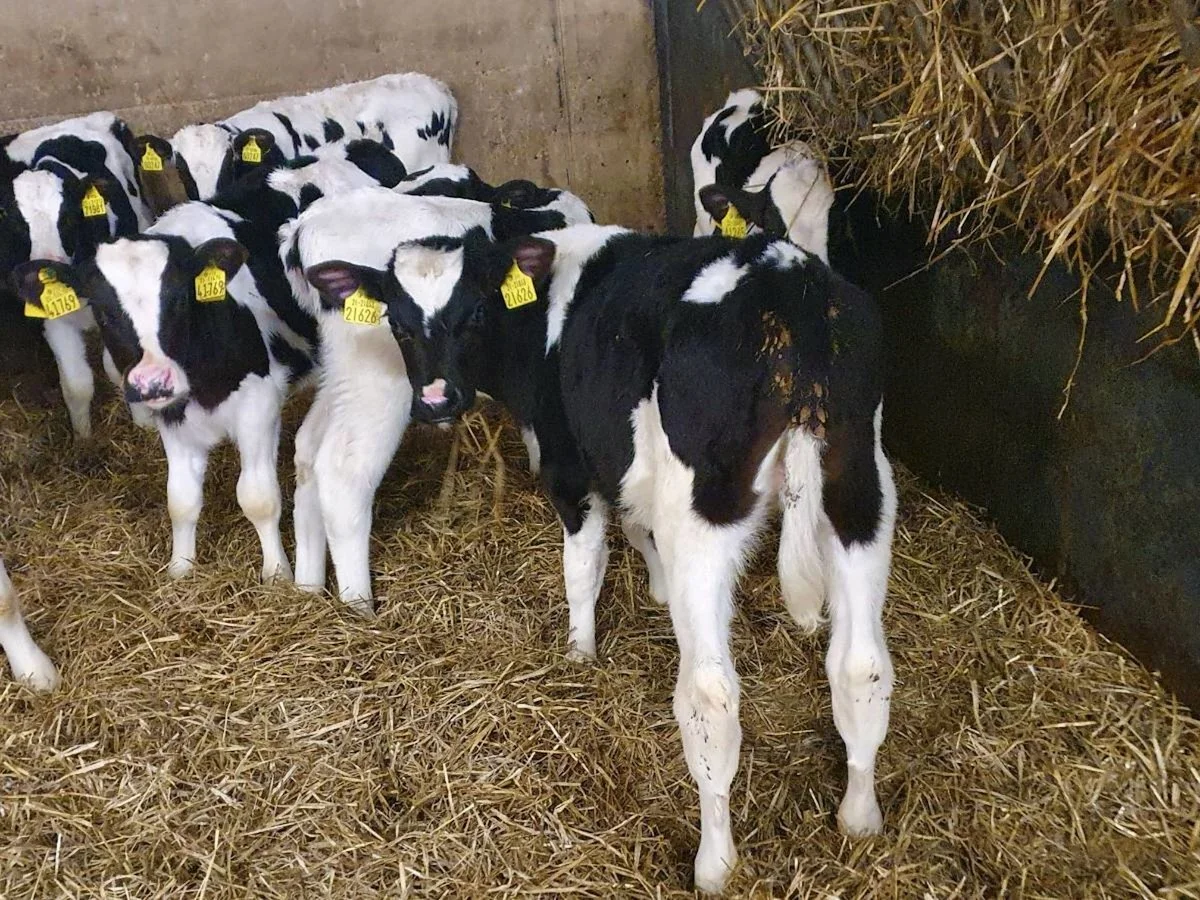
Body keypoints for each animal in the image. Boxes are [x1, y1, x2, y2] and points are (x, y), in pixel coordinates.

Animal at [2, 112, 151, 439]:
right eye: (15, 222)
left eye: (69, 217)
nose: (40, 273)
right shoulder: (53, 319)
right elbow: (76, 384)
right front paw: (83, 438)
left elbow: (118, 367)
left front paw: (144, 424)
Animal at [279, 184, 593, 612]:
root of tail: (307, 223)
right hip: (378, 382)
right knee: (344, 473)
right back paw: (359, 608)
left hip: (342, 375)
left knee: (308, 449)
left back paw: (308, 589)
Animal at [302, 224, 896, 893]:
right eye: (398, 323)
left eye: (474, 312)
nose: (434, 400)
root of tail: (788, 278)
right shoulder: (620, 461)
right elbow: (636, 525)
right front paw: (655, 589)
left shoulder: (567, 465)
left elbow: (583, 567)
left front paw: (579, 651)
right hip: (861, 485)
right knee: (862, 665)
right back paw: (859, 818)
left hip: (705, 516)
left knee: (711, 696)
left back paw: (715, 863)